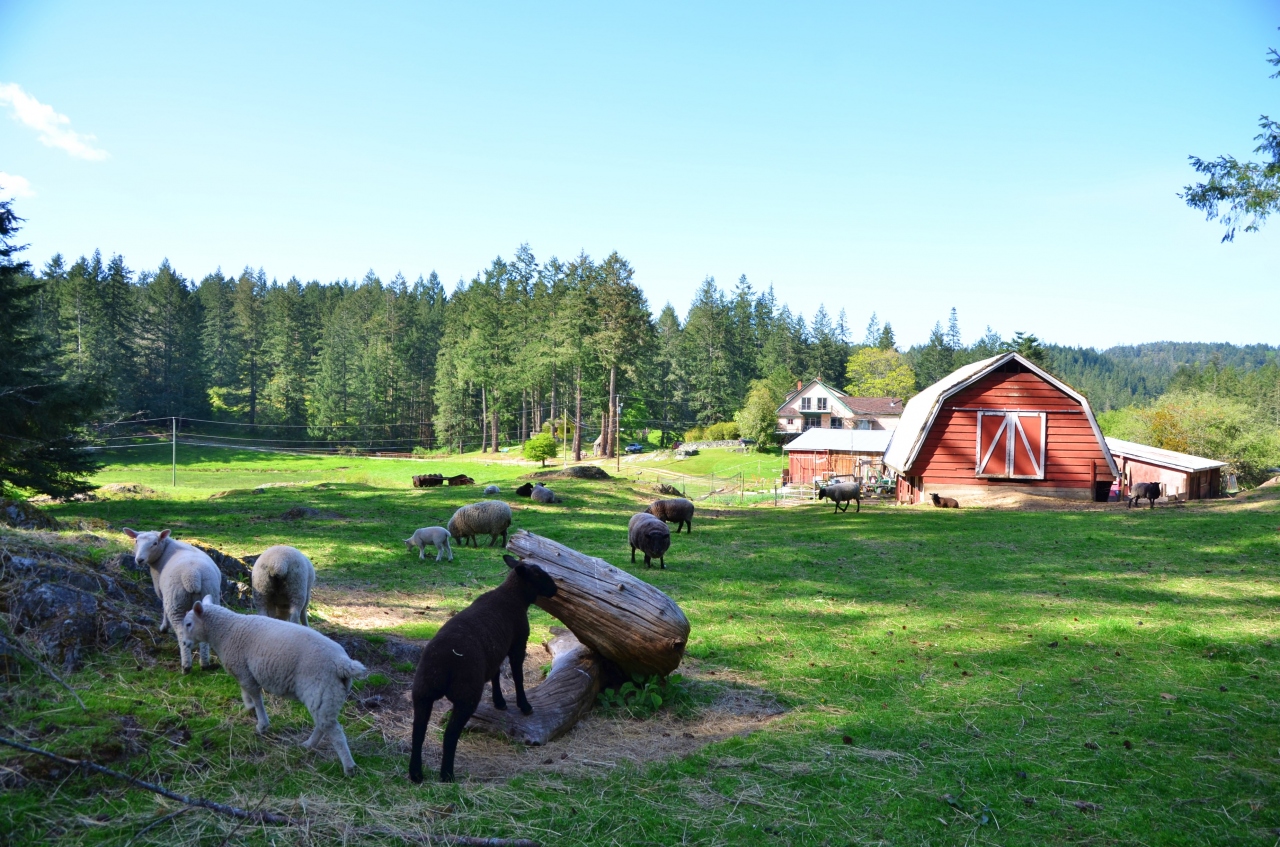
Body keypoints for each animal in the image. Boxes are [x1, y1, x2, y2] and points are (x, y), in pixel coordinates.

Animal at [122, 527, 222, 675]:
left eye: (155, 543)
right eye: (136, 541)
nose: (139, 560)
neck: (165, 551)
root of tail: (192, 576)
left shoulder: (161, 590)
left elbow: (163, 607)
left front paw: (164, 627)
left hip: (175, 602)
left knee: (180, 632)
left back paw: (186, 666)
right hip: (210, 594)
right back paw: (204, 664)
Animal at [179, 596, 366, 777]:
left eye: (188, 624)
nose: (184, 644)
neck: (226, 631)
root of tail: (343, 663)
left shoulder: (245, 672)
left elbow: (256, 697)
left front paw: (261, 724)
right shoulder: (243, 671)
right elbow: (244, 692)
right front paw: (249, 707)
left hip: (320, 690)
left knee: (334, 731)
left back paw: (348, 767)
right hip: (329, 695)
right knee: (324, 725)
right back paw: (309, 744)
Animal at [404, 555, 555, 788]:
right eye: (538, 573)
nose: (555, 588)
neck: (514, 596)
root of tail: (443, 665)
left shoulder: (495, 651)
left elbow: (495, 673)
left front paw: (499, 702)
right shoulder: (518, 643)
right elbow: (517, 676)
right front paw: (524, 705)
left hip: (422, 691)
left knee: (418, 732)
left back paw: (416, 774)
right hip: (466, 695)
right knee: (450, 735)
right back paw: (447, 775)